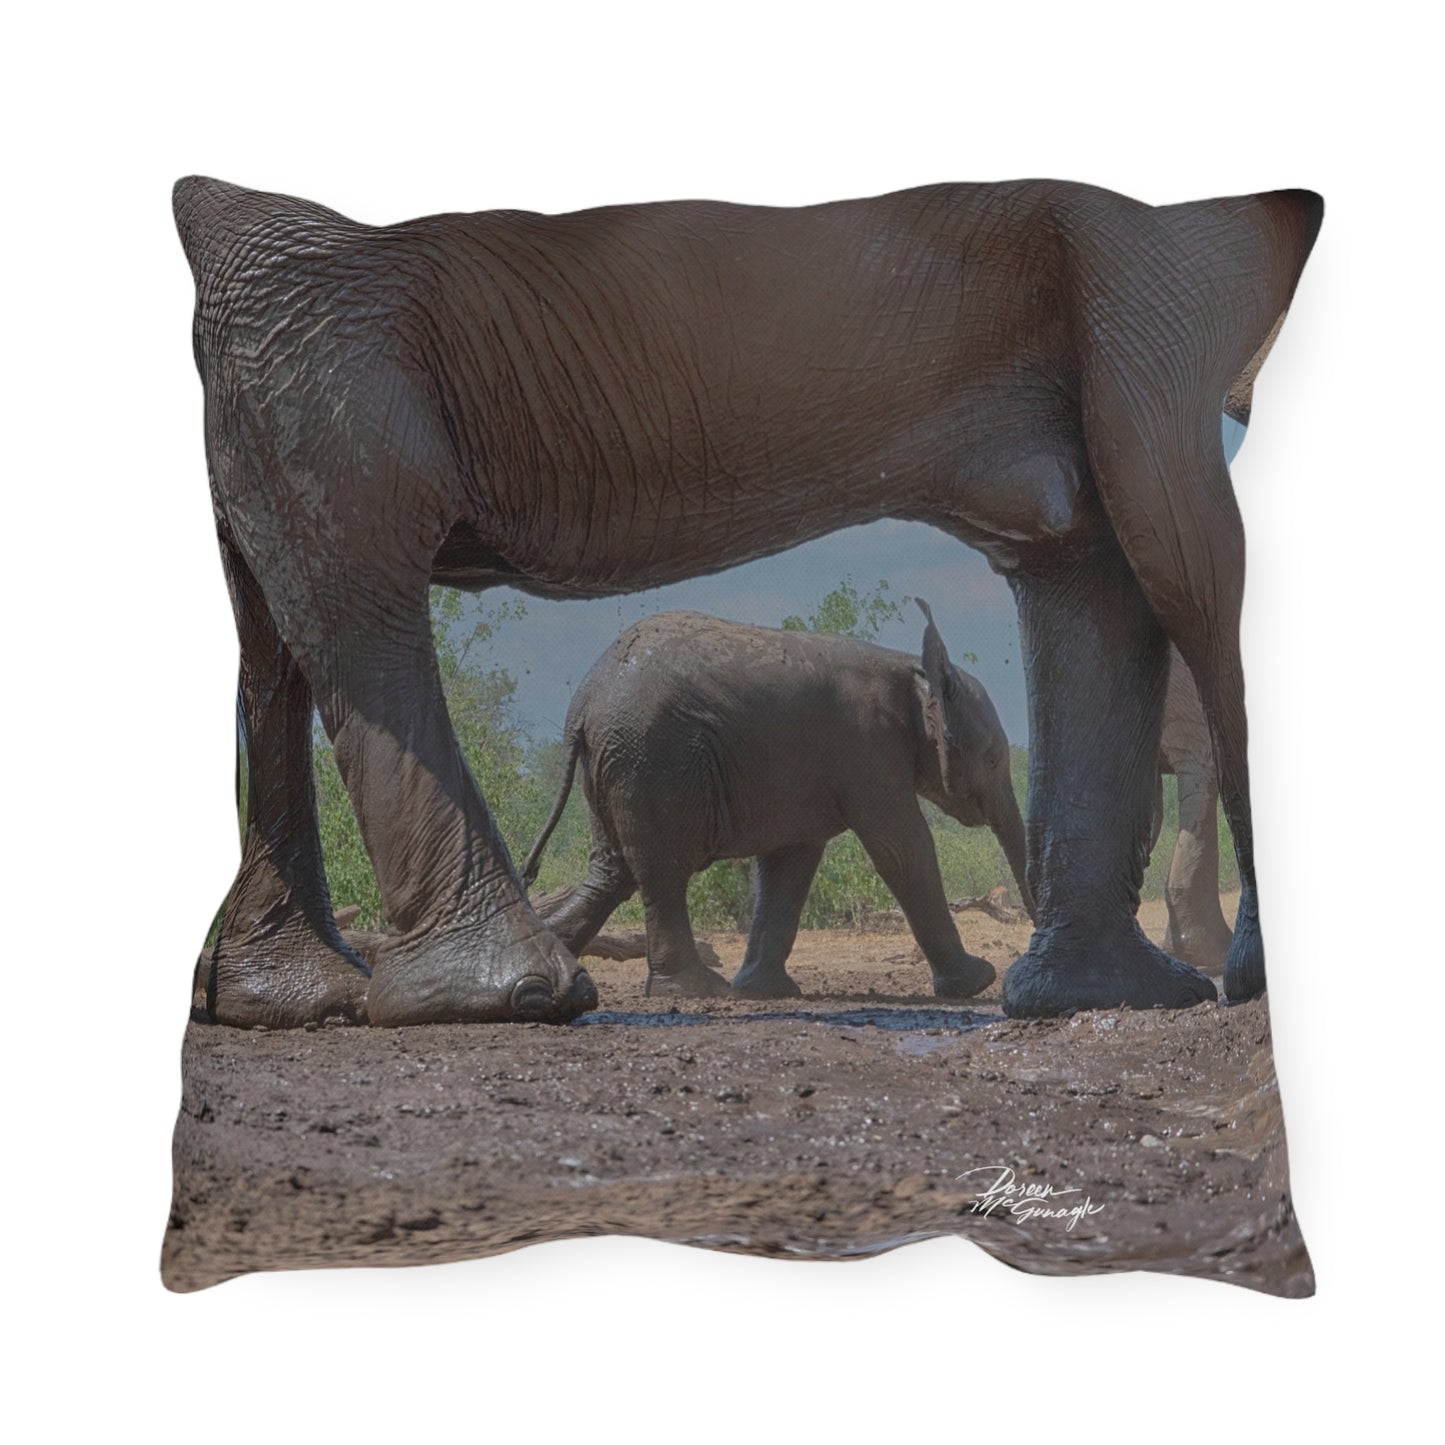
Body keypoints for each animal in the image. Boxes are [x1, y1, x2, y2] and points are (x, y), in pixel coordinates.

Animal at [520, 604, 1033, 1000]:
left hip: (614, 762)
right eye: (992, 758)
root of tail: (585, 700)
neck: (914, 669)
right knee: (661, 871)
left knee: (612, 873)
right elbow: (903, 849)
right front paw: (977, 981)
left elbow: (790, 866)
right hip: (650, 758)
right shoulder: (867, 747)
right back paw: (698, 991)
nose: (1021, 960)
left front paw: (765, 990)